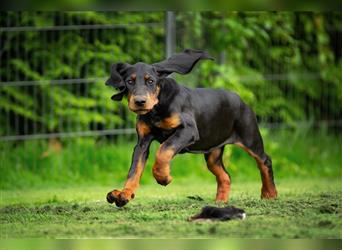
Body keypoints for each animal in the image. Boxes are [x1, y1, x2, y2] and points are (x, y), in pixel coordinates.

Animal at [105, 48, 278, 207]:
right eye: (129, 81)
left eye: (150, 81)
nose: (140, 102)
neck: (156, 109)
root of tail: (241, 99)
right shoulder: (142, 143)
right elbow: (134, 170)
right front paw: (124, 193)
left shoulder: (188, 130)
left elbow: (163, 150)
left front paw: (163, 177)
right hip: (213, 153)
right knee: (225, 176)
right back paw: (220, 202)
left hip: (250, 138)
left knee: (265, 161)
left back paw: (269, 194)